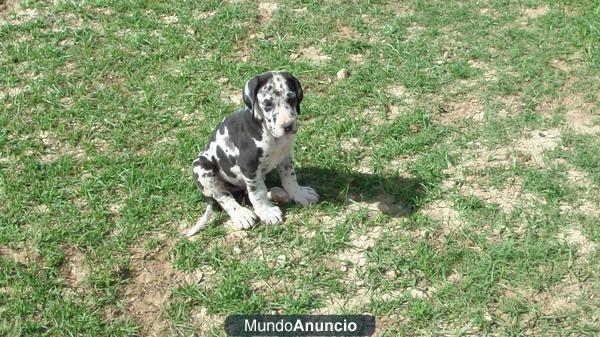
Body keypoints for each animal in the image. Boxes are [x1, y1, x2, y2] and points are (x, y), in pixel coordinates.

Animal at [186, 71, 318, 236]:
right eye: (268, 104)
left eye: (291, 99)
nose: (288, 126)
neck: (269, 133)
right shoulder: (249, 165)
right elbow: (257, 192)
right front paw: (267, 212)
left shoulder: (286, 156)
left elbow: (289, 177)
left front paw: (299, 193)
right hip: (200, 167)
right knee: (224, 196)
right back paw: (241, 214)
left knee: (248, 193)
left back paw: (277, 194)